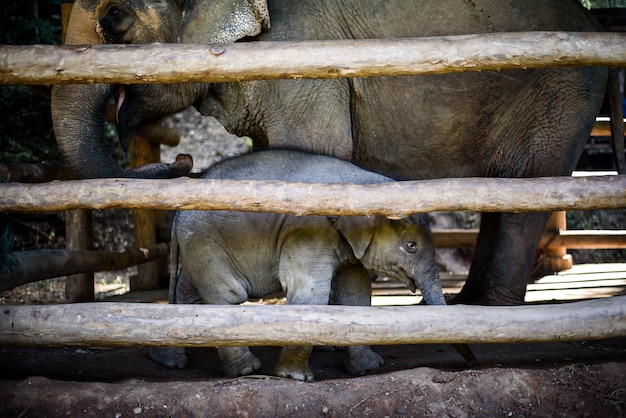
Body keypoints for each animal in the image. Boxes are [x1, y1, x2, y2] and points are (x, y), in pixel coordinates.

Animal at [53, 1, 608, 306]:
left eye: (115, 17)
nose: (184, 160)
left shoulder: (302, 58)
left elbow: (319, 151)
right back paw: (469, 303)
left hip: (561, 94)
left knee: (528, 192)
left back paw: (488, 310)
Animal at [151, 150, 444, 382]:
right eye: (411, 246)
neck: (363, 185)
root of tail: (178, 214)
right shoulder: (310, 230)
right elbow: (309, 294)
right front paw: (295, 376)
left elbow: (356, 292)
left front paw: (368, 368)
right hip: (205, 243)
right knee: (228, 295)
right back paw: (246, 370)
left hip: (196, 248)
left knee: (187, 293)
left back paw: (170, 361)